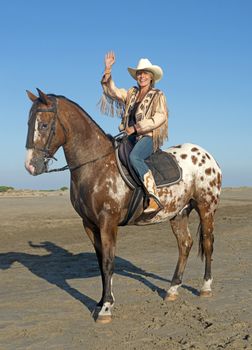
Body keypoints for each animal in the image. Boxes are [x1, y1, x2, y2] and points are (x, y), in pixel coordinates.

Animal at [24, 89, 221, 324]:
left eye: (44, 125)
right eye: (28, 123)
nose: (30, 165)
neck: (95, 165)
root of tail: (207, 156)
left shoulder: (108, 222)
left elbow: (109, 262)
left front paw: (106, 308)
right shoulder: (89, 224)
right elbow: (101, 263)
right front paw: (100, 302)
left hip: (206, 208)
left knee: (207, 243)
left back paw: (205, 287)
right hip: (178, 213)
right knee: (185, 245)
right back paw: (172, 290)